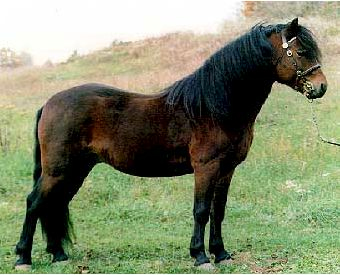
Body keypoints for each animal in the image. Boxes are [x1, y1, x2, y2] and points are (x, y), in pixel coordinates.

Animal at [14, 18, 328, 270]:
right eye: (301, 52)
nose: (321, 87)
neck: (214, 107)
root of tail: (49, 103)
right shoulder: (206, 168)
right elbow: (201, 211)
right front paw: (200, 257)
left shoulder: (226, 170)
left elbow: (218, 211)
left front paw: (221, 253)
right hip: (58, 170)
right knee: (34, 202)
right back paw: (22, 258)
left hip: (75, 170)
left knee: (54, 204)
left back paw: (58, 255)